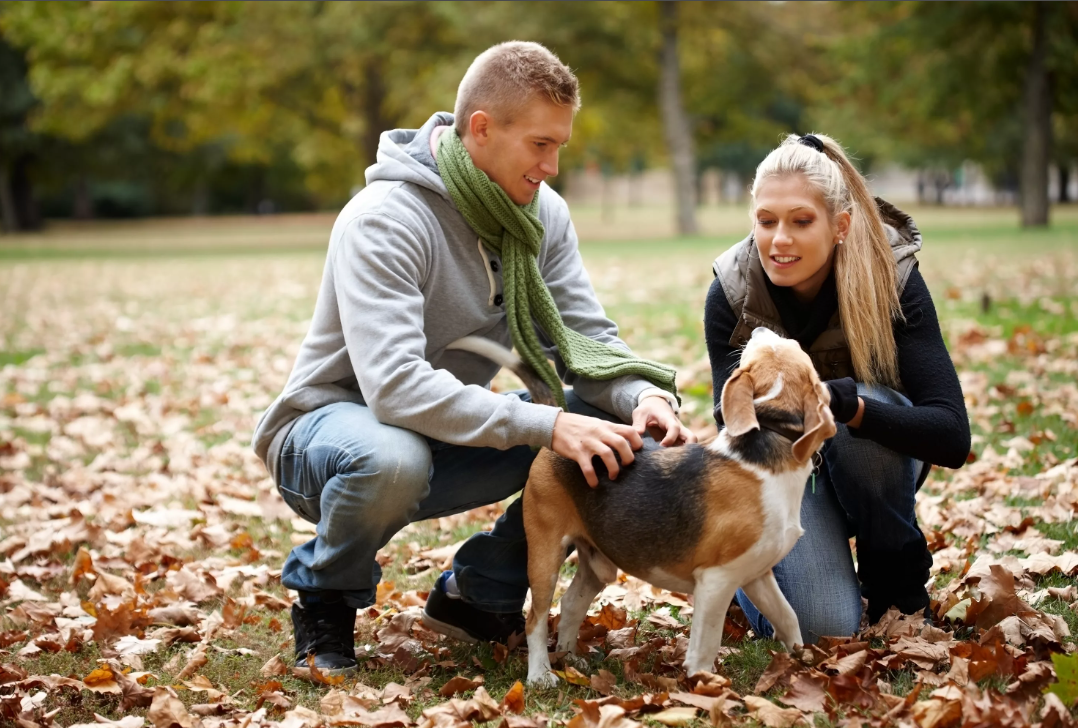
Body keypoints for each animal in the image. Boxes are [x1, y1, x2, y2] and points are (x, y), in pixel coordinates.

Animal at [446, 327, 832, 685]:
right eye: (776, 346)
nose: (758, 329)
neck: (769, 444)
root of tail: (558, 430)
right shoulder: (717, 579)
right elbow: (706, 645)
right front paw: (705, 686)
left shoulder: (756, 574)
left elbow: (789, 618)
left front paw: (802, 661)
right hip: (545, 554)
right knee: (536, 618)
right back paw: (541, 674)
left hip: (598, 563)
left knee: (570, 604)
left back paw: (570, 659)